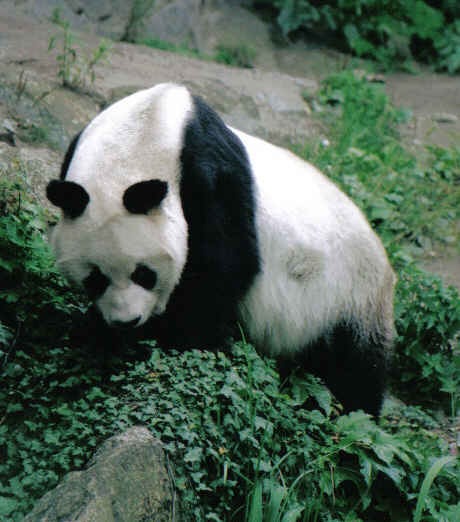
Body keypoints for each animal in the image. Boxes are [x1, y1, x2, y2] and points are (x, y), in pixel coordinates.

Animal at [46, 82, 396, 414]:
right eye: (95, 279)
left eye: (144, 274)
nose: (127, 321)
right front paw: (97, 334)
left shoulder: (209, 178)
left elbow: (221, 269)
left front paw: (174, 341)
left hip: (345, 296)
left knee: (351, 369)